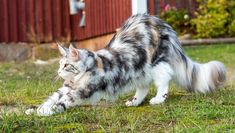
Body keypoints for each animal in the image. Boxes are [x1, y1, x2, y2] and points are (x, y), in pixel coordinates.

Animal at [25, 13, 226, 115]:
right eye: (60, 64)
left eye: (66, 65)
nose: (59, 72)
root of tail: (160, 22)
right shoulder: (66, 87)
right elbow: (52, 97)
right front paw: (37, 109)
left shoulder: (82, 90)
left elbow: (64, 101)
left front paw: (47, 111)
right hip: (139, 69)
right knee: (143, 87)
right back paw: (134, 102)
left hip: (155, 63)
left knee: (164, 80)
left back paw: (158, 99)